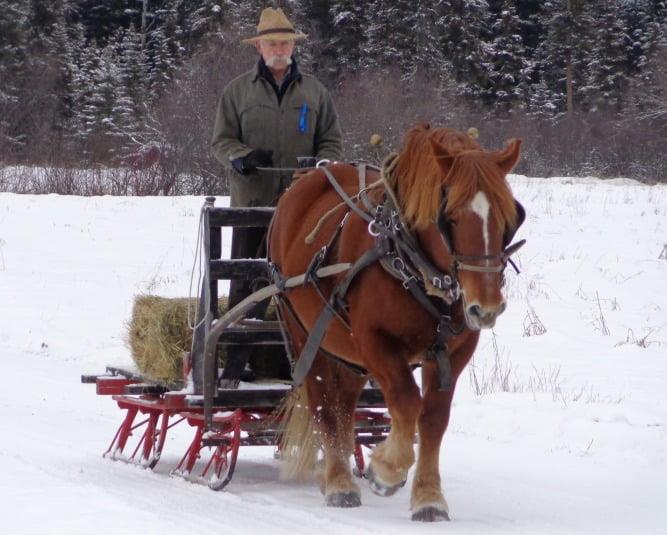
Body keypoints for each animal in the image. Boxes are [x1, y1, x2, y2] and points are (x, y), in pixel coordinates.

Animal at [268, 124, 525, 521]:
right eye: (450, 216)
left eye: (508, 217)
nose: (486, 309)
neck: (411, 262)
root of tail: (308, 177)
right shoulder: (376, 341)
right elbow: (406, 402)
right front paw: (385, 469)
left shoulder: (454, 350)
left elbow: (433, 418)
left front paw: (429, 497)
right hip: (305, 333)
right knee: (324, 401)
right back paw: (340, 483)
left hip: (348, 352)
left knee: (344, 403)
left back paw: (333, 474)